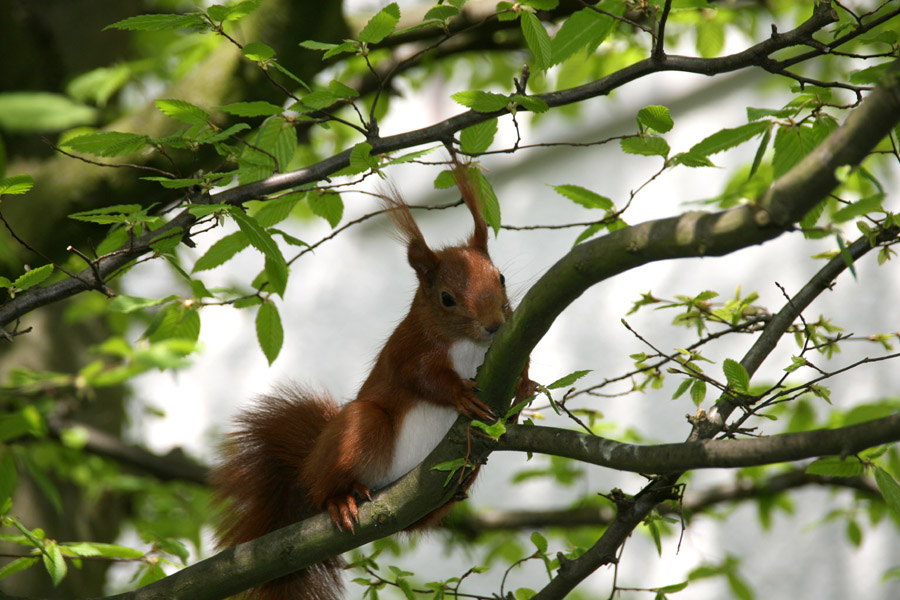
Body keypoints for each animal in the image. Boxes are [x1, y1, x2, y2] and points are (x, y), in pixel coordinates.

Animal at [211, 163, 536, 600]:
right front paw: (460, 395)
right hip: (361, 428)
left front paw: (524, 390)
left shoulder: (510, 342)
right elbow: (421, 377)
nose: (494, 325)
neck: (470, 345)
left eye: (500, 278)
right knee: (328, 482)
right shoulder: (407, 350)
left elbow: (522, 366)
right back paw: (339, 500)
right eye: (446, 298)